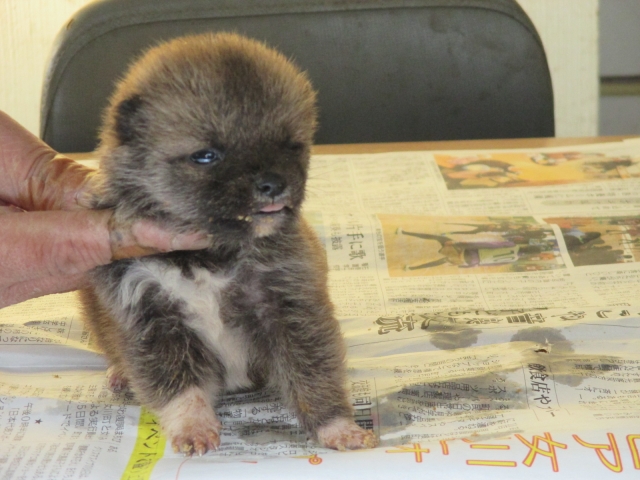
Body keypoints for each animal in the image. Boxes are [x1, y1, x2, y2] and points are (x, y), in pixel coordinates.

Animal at [79, 33, 377, 456]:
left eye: (290, 145)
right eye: (206, 155)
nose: (273, 184)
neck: (209, 257)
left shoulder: (292, 307)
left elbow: (312, 374)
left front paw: (337, 426)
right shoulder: (149, 318)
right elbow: (177, 386)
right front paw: (193, 425)